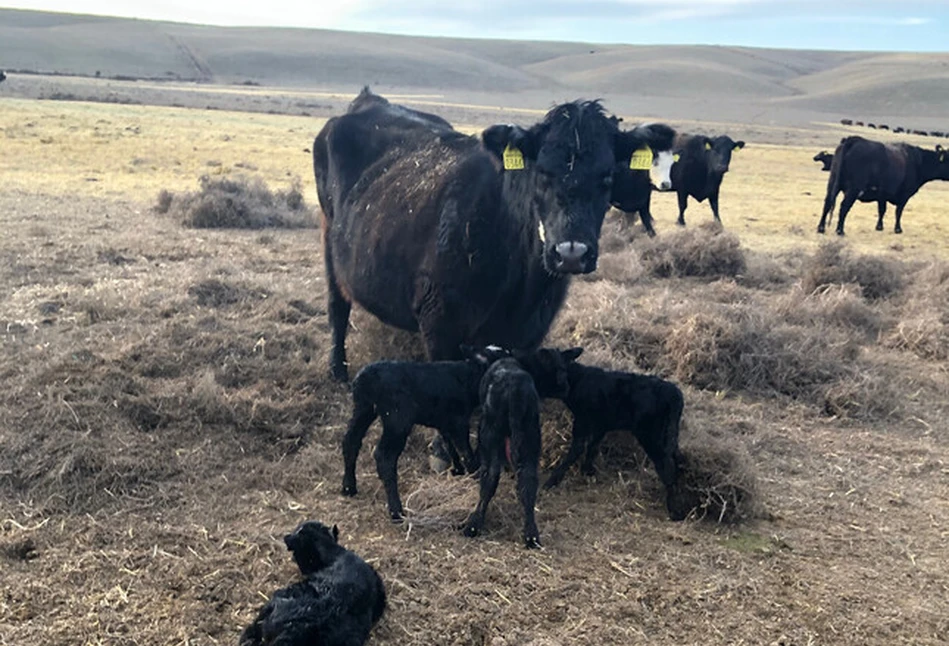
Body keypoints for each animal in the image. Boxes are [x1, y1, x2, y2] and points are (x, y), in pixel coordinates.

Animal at [312, 85, 672, 380]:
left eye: (608, 176)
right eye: (541, 173)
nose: (571, 252)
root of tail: (368, 101)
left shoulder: (529, 334)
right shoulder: (441, 326)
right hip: (329, 238)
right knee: (337, 305)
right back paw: (338, 371)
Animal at [336, 346, 508, 524]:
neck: (468, 377)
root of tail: (366, 378)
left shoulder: (444, 422)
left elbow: (450, 447)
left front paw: (458, 470)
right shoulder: (459, 422)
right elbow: (465, 452)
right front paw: (474, 474)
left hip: (363, 408)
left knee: (350, 441)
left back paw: (349, 487)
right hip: (397, 420)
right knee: (384, 456)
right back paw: (396, 511)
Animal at [462, 352, 580, 548]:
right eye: (559, 367)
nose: (566, 387)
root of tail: (516, 390)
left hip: (491, 431)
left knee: (490, 475)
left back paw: (474, 524)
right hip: (530, 434)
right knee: (528, 479)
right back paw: (531, 535)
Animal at [540, 364, 688, 520]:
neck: (579, 379)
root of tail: (673, 392)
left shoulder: (582, 421)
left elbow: (577, 449)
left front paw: (551, 482)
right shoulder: (600, 425)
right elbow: (592, 447)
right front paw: (587, 472)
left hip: (651, 437)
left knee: (667, 466)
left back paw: (674, 511)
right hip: (668, 435)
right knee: (677, 460)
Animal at [816, 136, 948, 235]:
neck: (917, 161)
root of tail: (854, 139)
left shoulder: (882, 195)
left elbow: (882, 210)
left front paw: (879, 227)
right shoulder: (904, 195)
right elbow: (898, 211)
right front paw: (898, 229)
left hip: (832, 183)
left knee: (827, 203)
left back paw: (821, 228)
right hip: (853, 189)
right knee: (844, 206)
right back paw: (840, 230)